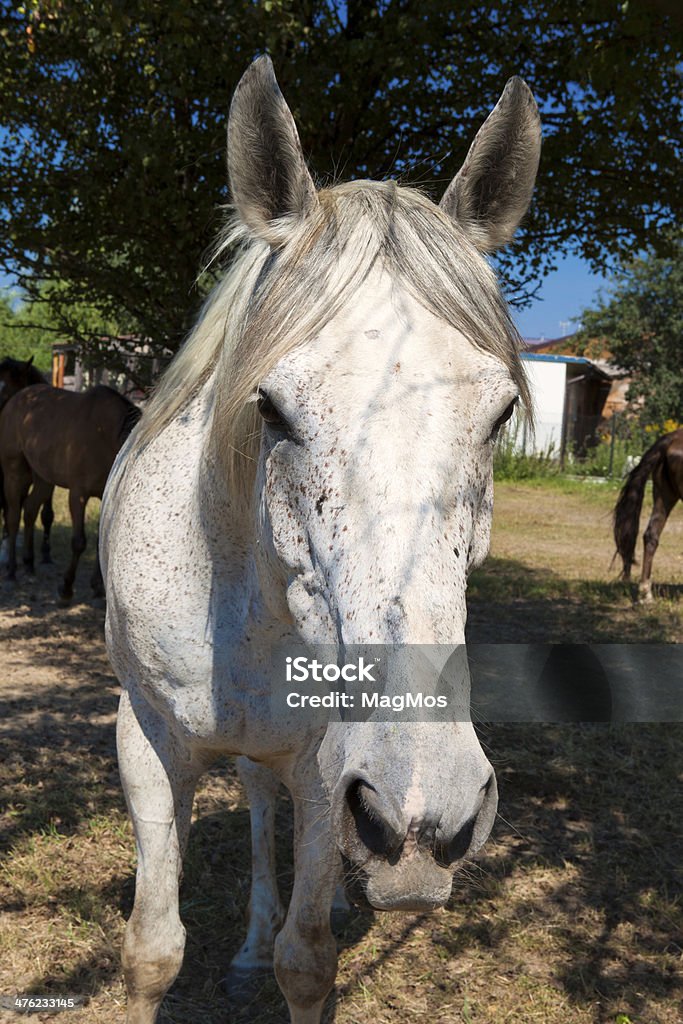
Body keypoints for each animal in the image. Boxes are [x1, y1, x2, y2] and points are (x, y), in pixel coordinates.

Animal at [0, 385, 141, 598]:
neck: (104, 436)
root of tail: (18, 397)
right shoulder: (78, 494)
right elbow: (79, 542)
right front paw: (66, 588)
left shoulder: (104, 495)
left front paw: (97, 587)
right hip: (15, 472)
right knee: (14, 517)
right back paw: (11, 573)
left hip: (44, 479)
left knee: (30, 509)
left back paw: (29, 563)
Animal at [100, 54, 540, 1024]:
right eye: (269, 407)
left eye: (499, 413)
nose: (423, 820)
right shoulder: (145, 744)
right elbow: (151, 949)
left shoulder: (321, 763)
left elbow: (308, 961)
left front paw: (316, 920)